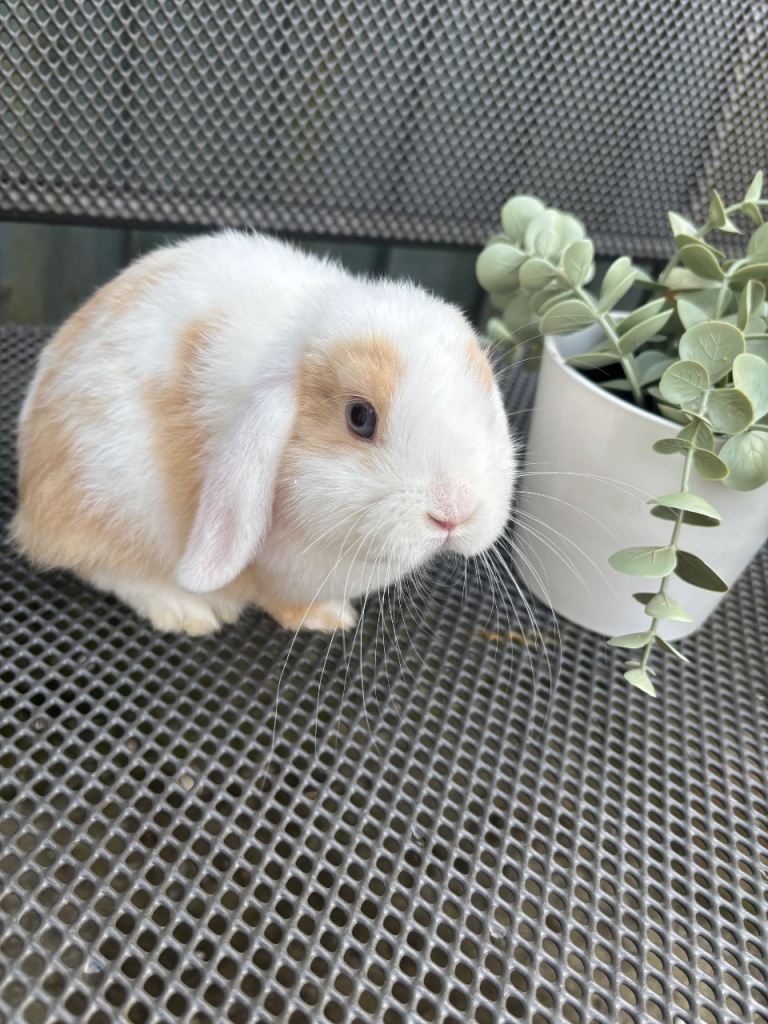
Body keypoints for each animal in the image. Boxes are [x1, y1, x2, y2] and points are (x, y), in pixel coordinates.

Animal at [12, 232, 517, 635]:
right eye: (360, 417)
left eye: (483, 404)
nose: (454, 513)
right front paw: (324, 617)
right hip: (111, 498)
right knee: (106, 568)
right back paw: (184, 610)